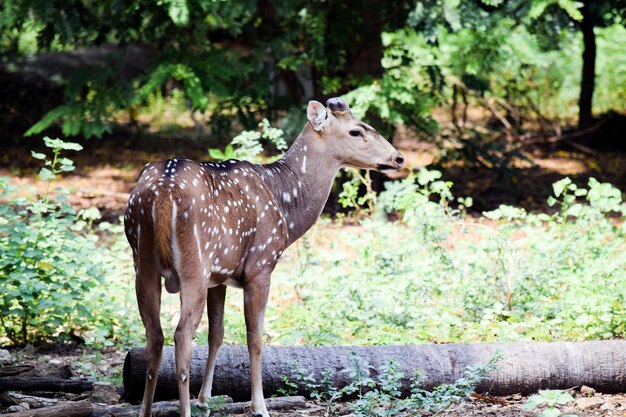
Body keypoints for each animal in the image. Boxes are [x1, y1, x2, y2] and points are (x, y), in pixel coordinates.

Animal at [124, 98, 402, 416]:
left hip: (143, 262)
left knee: (154, 334)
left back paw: (147, 411)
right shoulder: (261, 265)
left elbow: (217, 333)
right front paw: (259, 406)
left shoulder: (219, 276)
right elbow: (255, 337)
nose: (398, 158)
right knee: (181, 335)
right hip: (193, 265)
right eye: (356, 130)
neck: (285, 206)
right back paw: (185, 410)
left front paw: (206, 400)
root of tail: (163, 192)